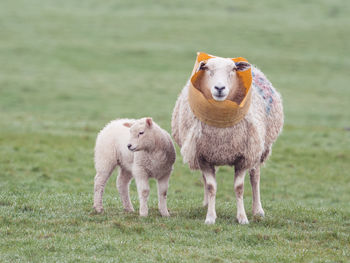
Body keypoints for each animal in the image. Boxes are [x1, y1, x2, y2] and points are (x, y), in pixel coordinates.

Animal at [172, 52, 284, 226]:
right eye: (207, 69)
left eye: (232, 70)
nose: (219, 88)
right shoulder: (203, 155)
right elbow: (211, 186)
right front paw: (210, 217)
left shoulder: (243, 156)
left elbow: (239, 188)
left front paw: (242, 218)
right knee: (205, 180)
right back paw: (206, 205)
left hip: (258, 149)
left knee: (255, 177)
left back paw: (258, 210)